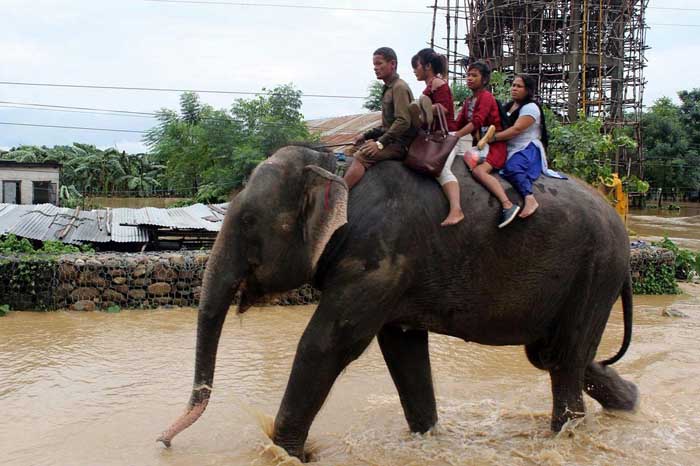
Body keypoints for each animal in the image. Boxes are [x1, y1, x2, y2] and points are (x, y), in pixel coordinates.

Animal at [159, 144, 640, 460]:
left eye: (247, 221)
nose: (163, 441)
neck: (334, 166)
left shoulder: (381, 255)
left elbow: (327, 344)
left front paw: (284, 454)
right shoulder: (393, 272)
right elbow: (401, 346)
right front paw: (427, 438)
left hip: (597, 268)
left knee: (562, 358)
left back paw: (568, 437)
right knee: (553, 354)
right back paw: (630, 401)